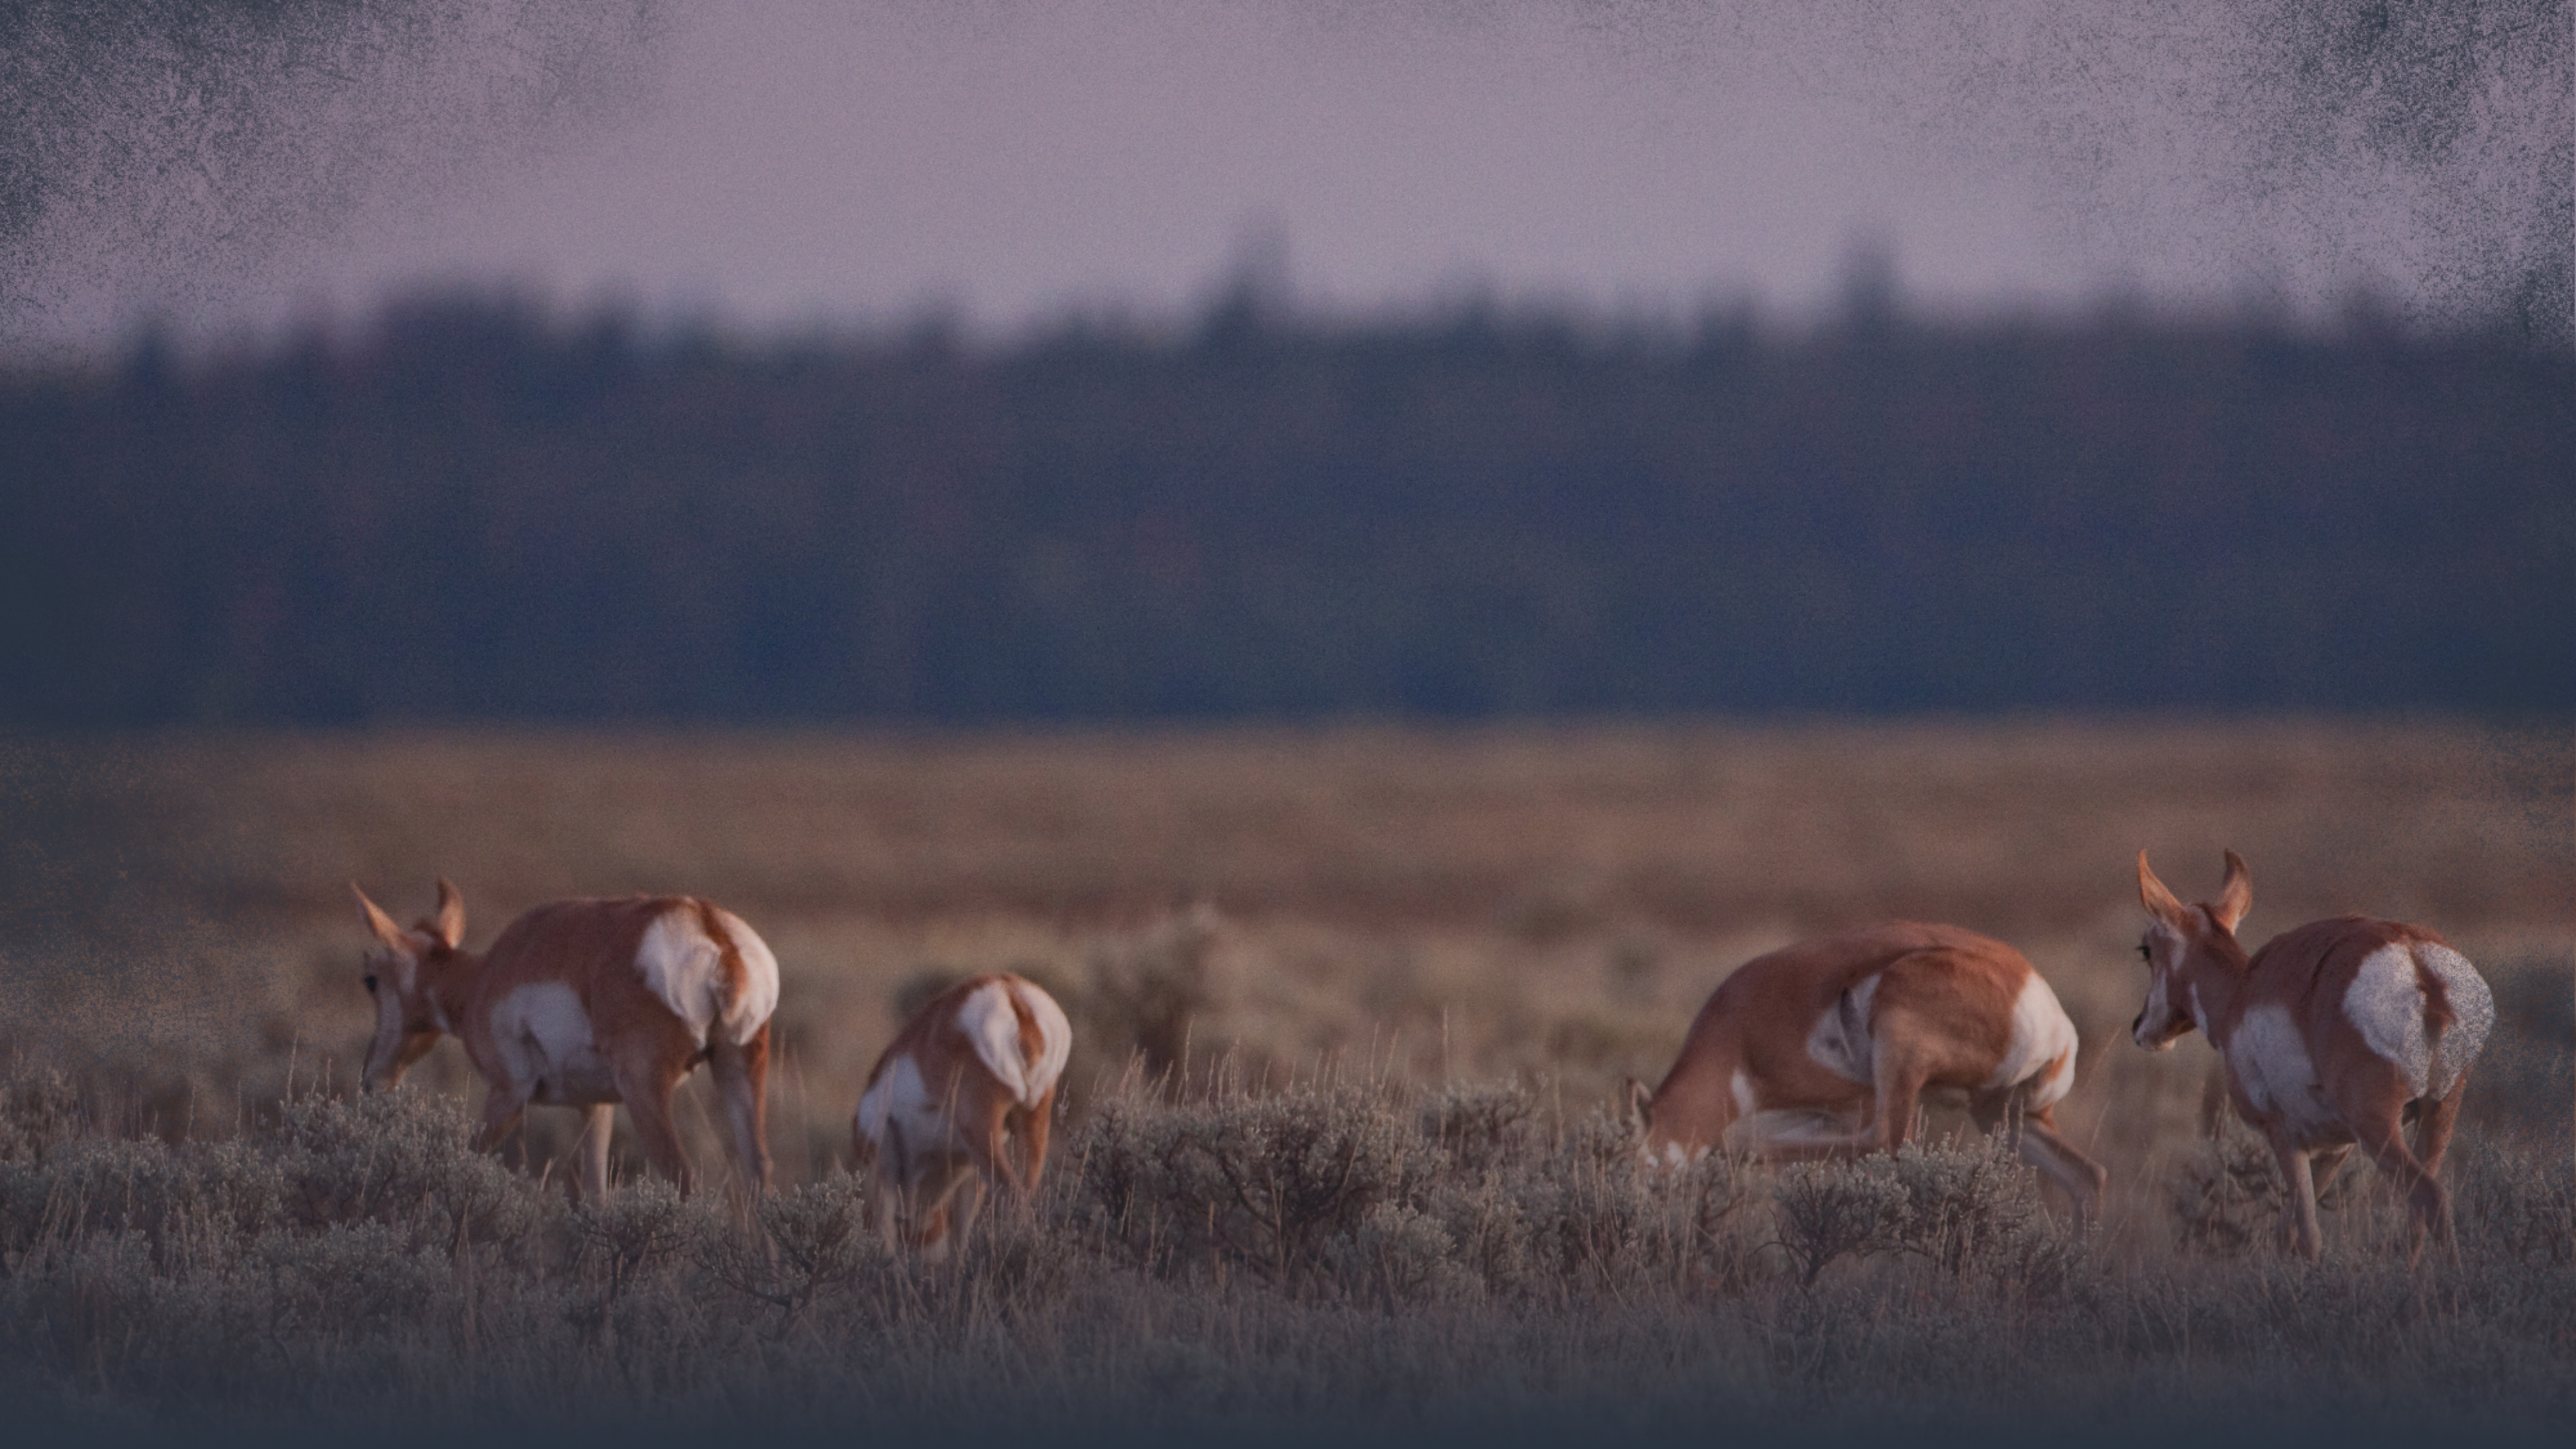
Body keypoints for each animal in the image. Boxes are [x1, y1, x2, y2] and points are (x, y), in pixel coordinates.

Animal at [352, 880, 779, 1201]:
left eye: (370, 979)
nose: (371, 1081)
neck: (483, 977)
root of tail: (710, 928)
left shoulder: (508, 1094)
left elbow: (464, 1161)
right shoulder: (596, 1107)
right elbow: (596, 1196)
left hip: (645, 1093)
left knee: (685, 1181)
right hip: (739, 1069)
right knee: (760, 1174)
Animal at [854, 973, 1071, 1258]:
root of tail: (1011, 993)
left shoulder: (885, 1168)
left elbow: (886, 1236)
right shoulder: (969, 1172)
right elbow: (960, 1235)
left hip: (984, 1134)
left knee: (1016, 1201)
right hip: (1033, 1121)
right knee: (1027, 1194)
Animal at [1625, 922, 2106, 1226]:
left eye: (1644, 1169)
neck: (1739, 1033)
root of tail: (2040, 1000)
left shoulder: (1848, 1106)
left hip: (1901, 1046)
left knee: (1884, 1140)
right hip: (2003, 1118)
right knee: (2088, 1176)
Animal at [2132, 850, 2492, 1259]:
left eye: (2145, 950)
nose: (2139, 1028)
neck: (2240, 994)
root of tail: (2417, 960)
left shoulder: (2284, 1136)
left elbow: (2307, 1234)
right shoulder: (2336, 1150)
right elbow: (2285, 1227)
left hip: (2379, 1127)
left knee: (2430, 1198)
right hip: (2439, 1113)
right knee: (2417, 1219)